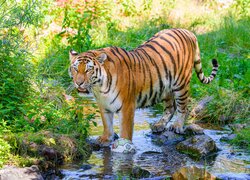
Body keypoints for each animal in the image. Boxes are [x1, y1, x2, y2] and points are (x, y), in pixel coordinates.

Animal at [69, 28, 219, 149]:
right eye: (75, 69)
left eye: (88, 70)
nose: (79, 83)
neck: (100, 88)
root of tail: (189, 32)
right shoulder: (103, 105)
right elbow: (107, 124)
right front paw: (105, 139)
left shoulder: (127, 106)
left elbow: (125, 130)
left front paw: (124, 145)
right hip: (165, 86)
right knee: (171, 108)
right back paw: (159, 125)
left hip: (181, 84)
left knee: (183, 108)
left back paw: (177, 126)